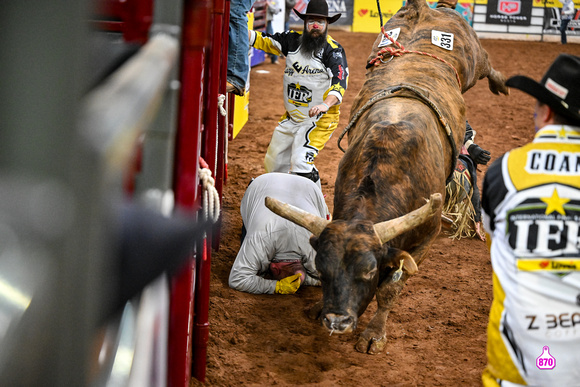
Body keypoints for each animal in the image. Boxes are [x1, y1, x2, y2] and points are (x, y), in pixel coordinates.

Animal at [268, 0, 508, 354]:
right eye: (322, 270)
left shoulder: (425, 236)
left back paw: (502, 84)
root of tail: (424, 9)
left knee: (488, 64)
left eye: (368, 272)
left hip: (472, 58)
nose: (337, 321)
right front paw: (317, 307)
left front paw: (374, 334)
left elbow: (390, 289)